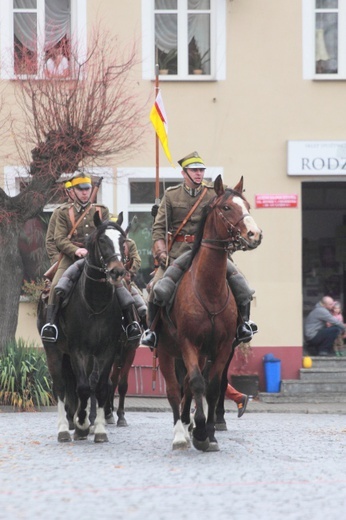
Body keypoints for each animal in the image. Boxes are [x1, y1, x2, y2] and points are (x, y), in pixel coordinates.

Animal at [37, 213, 128, 440]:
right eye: (102, 240)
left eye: (123, 241)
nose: (117, 271)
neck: (95, 302)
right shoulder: (78, 350)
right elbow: (84, 388)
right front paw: (81, 423)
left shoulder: (107, 351)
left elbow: (100, 387)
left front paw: (99, 429)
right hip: (53, 351)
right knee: (60, 387)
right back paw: (64, 428)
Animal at [155, 175, 260, 450]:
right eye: (226, 207)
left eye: (247, 205)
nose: (255, 234)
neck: (209, 289)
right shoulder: (188, 343)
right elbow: (196, 384)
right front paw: (200, 430)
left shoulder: (222, 347)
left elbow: (211, 387)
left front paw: (208, 432)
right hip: (167, 351)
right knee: (175, 390)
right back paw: (180, 433)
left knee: (189, 388)